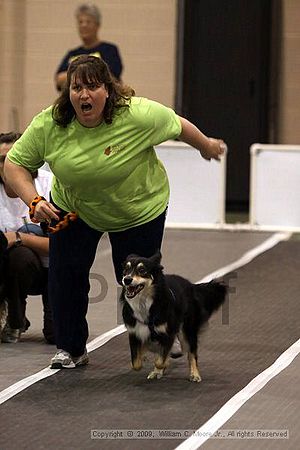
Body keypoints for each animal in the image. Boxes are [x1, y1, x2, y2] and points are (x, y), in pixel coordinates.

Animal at [119, 251, 227, 382]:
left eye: (142, 270)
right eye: (126, 269)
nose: (127, 279)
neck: (144, 304)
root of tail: (191, 285)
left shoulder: (168, 333)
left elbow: (160, 360)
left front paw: (162, 364)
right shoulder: (134, 333)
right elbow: (136, 363)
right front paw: (147, 359)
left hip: (188, 329)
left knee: (192, 353)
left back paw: (194, 374)